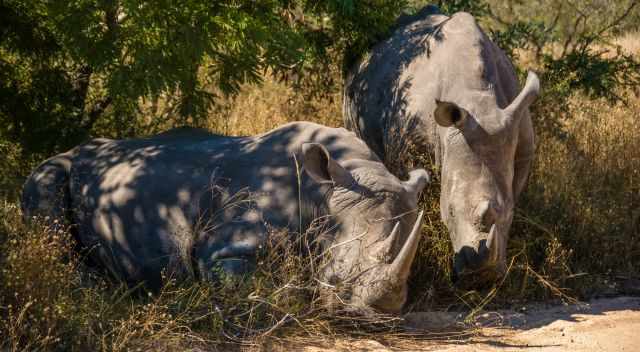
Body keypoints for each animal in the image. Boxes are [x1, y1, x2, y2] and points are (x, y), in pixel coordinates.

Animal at [21, 121, 430, 314]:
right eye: (337, 279)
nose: (380, 314)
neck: (325, 195)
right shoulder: (226, 250)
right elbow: (278, 288)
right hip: (58, 166)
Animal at [344, 6, 540, 284]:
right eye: (449, 212)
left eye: (510, 213)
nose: (481, 276)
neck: (479, 100)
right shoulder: (410, 148)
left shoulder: (521, 143)